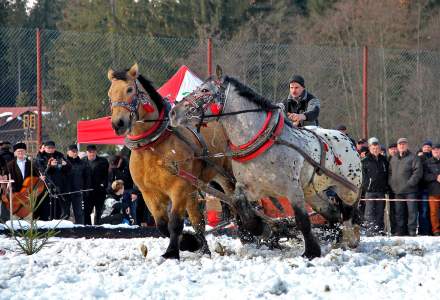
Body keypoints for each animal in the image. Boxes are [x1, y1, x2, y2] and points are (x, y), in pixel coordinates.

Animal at [107, 63, 234, 260]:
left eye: (129, 89)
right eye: (110, 94)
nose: (118, 124)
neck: (152, 146)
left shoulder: (179, 187)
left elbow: (174, 223)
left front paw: (172, 252)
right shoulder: (149, 193)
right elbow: (161, 224)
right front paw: (190, 242)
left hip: (225, 175)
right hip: (194, 187)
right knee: (198, 221)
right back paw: (205, 250)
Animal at [168, 67, 360, 258]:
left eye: (205, 90)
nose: (173, 112)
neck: (263, 143)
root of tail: (348, 141)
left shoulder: (293, 189)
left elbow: (302, 221)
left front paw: (311, 252)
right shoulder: (253, 188)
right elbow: (239, 202)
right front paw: (261, 228)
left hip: (348, 189)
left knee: (349, 213)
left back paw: (350, 239)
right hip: (313, 193)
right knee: (333, 213)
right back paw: (337, 239)